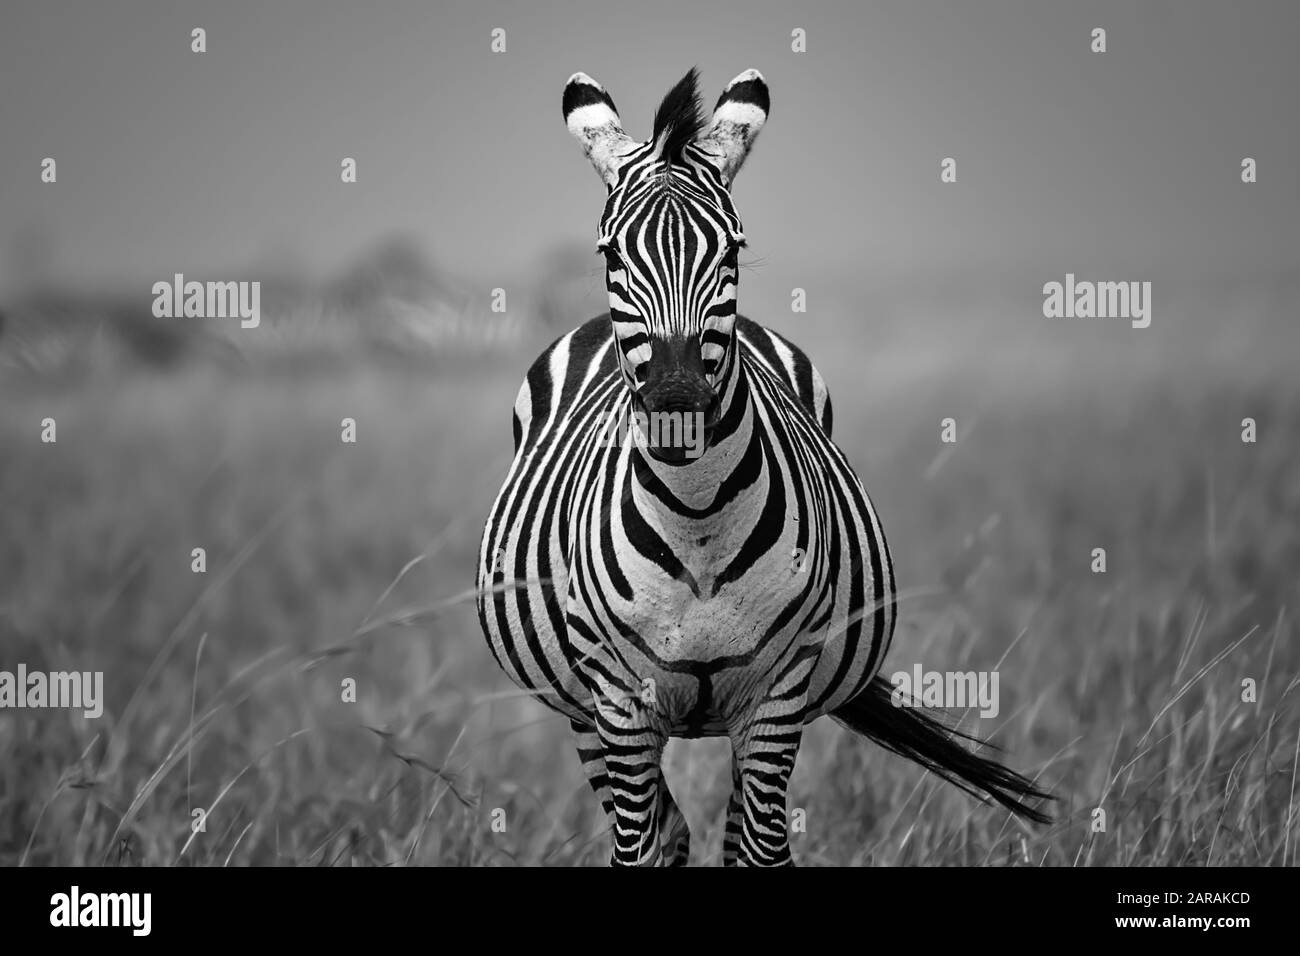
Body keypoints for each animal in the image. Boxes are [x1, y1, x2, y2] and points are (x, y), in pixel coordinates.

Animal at [473, 63, 1050, 863]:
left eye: (733, 252)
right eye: (611, 254)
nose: (677, 404)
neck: (695, 516)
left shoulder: (778, 696)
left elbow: (761, 850)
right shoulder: (618, 704)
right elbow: (638, 848)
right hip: (580, 711)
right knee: (665, 831)